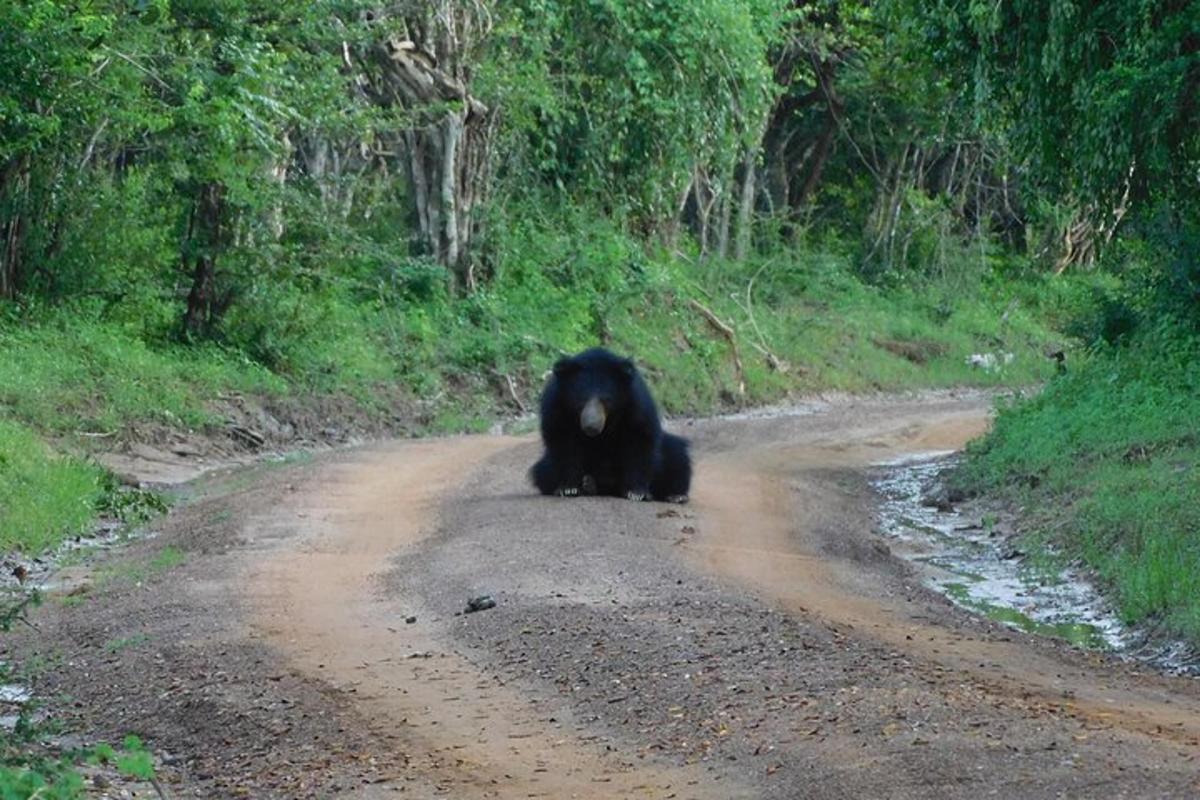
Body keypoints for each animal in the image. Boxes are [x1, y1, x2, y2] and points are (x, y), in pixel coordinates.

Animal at [528, 347, 691, 503]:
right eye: (581, 400)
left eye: (606, 400)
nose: (591, 426)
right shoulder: (556, 406)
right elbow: (563, 442)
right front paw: (569, 489)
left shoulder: (637, 404)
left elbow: (639, 440)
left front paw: (636, 493)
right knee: (542, 471)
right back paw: (589, 484)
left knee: (677, 455)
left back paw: (676, 495)